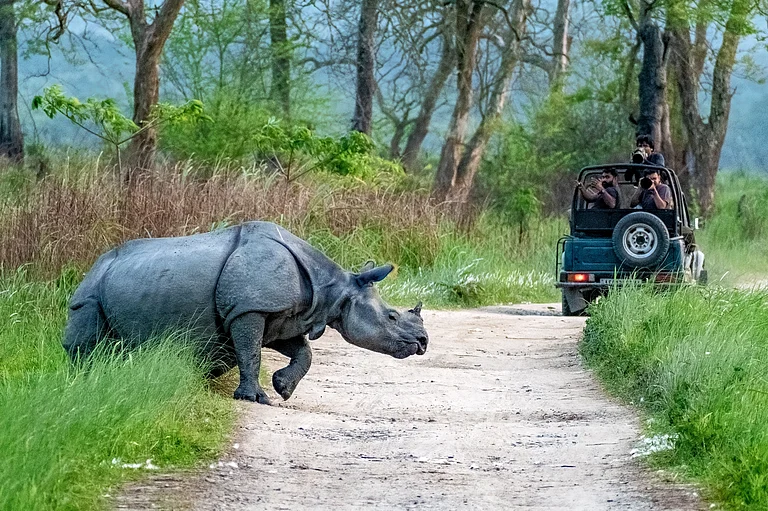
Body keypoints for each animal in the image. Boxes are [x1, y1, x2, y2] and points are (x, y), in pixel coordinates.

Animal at [63, 221, 428, 404]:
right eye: (392, 317)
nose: (423, 342)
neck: (331, 290)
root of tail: (95, 263)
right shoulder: (250, 309)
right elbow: (251, 353)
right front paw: (256, 398)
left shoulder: (283, 317)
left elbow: (303, 352)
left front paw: (283, 389)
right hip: (90, 290)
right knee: (85, 335)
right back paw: (84, 380)